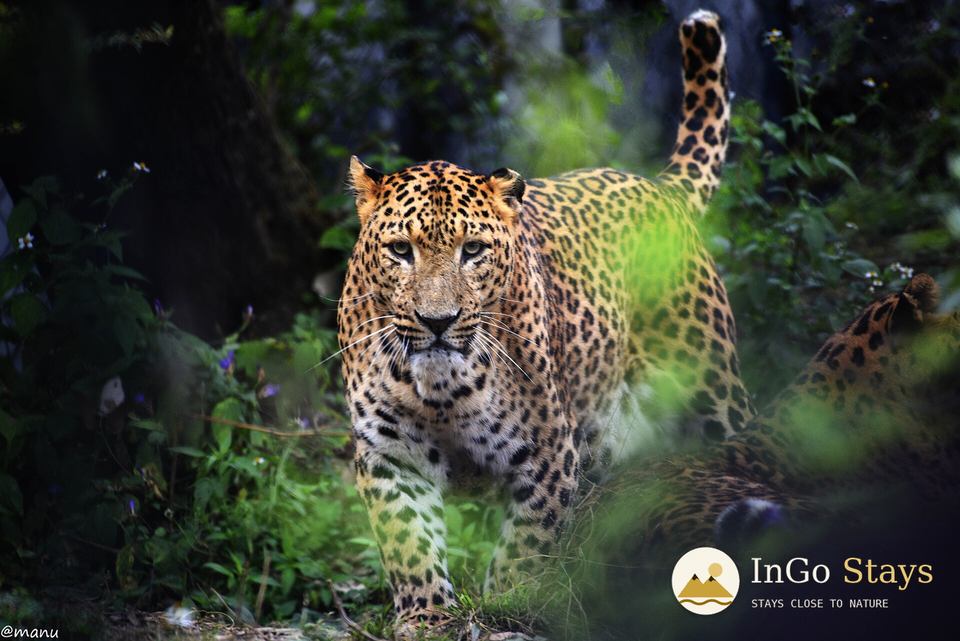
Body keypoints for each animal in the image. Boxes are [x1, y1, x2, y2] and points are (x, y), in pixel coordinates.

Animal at [335, 9, 750, 627]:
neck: (442, 389)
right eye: (400, 251)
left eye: (473, 251)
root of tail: (658, 188)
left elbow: (526, 544)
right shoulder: (388, 452)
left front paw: (513, 600)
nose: (438, 321)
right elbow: (408, 539)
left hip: (710, 390)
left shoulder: (549, 451)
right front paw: (426, 616)